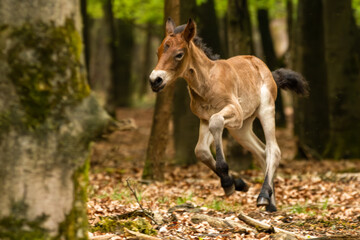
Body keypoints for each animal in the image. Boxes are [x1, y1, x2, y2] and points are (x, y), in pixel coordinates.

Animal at [150, 17, 310, 211]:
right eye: (159, 51)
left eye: (179, 54)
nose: (155, 80)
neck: (207, 82)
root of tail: (268, 71)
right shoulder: (204, 119)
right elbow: (201, 151)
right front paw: (237, 183)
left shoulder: (233, 111)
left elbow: (216, 122)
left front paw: (227, 182)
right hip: (241, 128)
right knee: (261, 151)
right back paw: (271, 204)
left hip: (265, 110)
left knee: (274, 150)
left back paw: (264, 196)